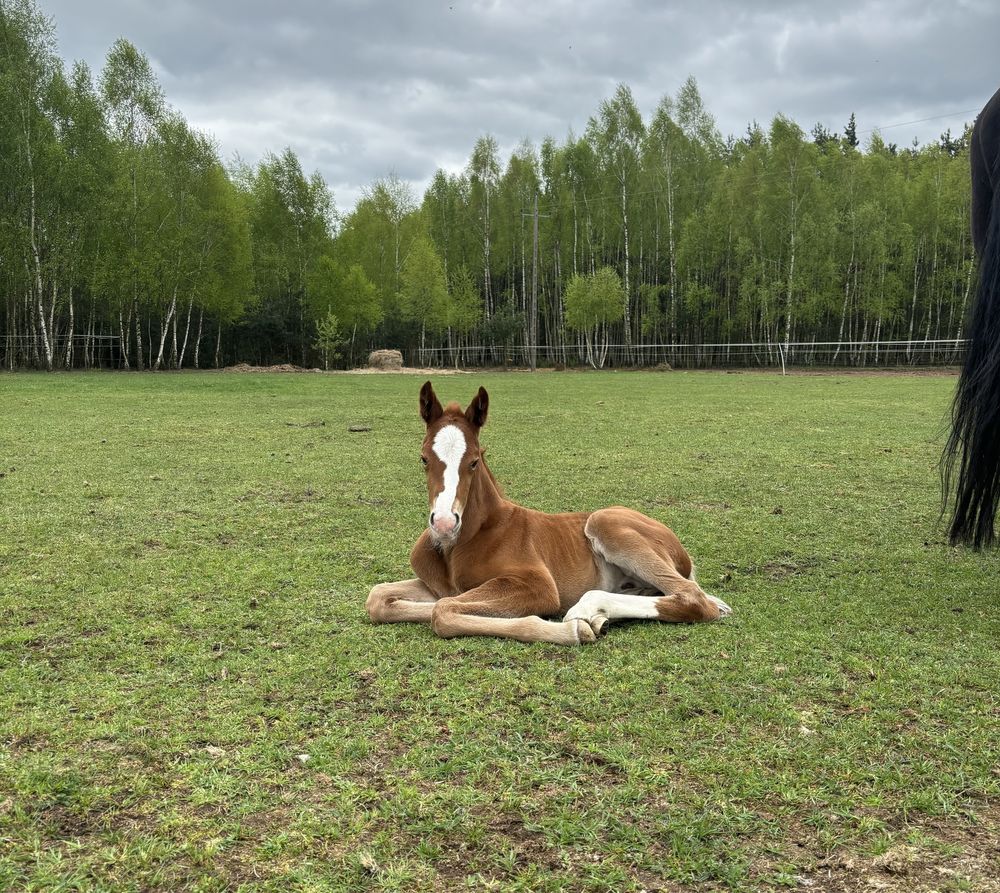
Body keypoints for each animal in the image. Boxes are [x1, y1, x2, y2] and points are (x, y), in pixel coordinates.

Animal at [364, 380, 732, 644]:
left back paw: (587, 610)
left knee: (693, 598)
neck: (462, 543)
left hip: (605, 521)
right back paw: (600, 614)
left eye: (474, 461)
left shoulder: (537, 585)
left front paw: (570, 630)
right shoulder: (439, 586)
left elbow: (442, 612)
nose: (443, 523)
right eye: (424, 458)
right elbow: (380, 598)